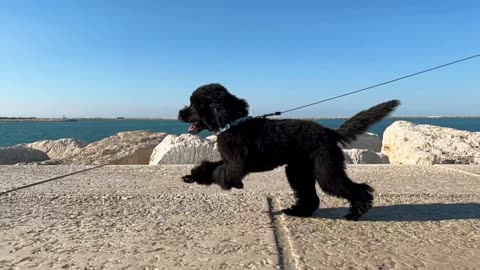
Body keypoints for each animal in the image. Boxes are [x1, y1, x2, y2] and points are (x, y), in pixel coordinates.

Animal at [178, 83, 400, 220]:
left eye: (195, 105)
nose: (179, 114)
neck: (232, 123)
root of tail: (331, 132)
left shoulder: (236, 163)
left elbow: (220, 173)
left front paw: (232, 184)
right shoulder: (227, 160)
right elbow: (208, 168)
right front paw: (192, 176)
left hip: (325, 171)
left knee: (356, 188)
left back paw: (356, 212)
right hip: (299, 170)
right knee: (310, 196)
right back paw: (299, 212)